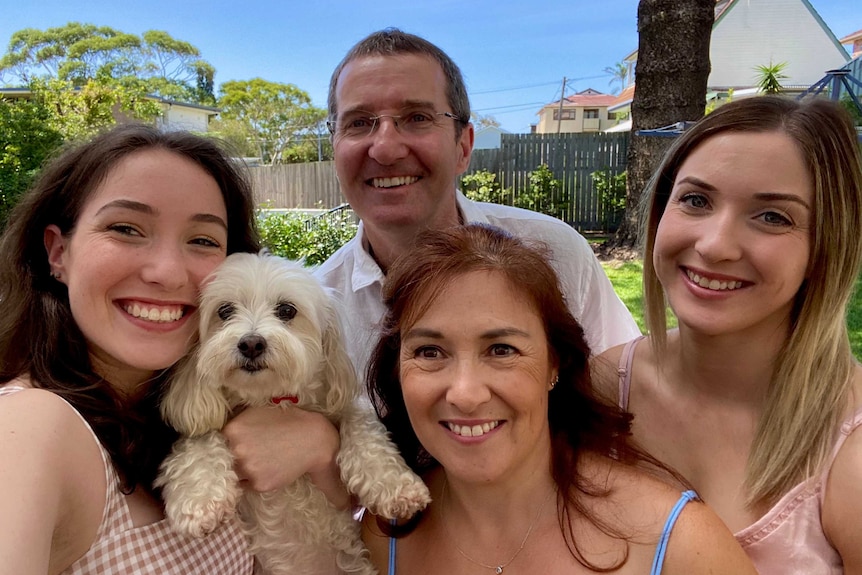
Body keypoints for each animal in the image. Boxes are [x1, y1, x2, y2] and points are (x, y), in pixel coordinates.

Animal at [156, 253, 432, 575]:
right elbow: (200, 439)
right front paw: (199, 500)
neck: (273, 400)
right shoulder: (200, 416)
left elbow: (362, 425)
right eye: (224, 311)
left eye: (287, 310)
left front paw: (395, 485)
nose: (251, 343)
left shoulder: (343, 401)